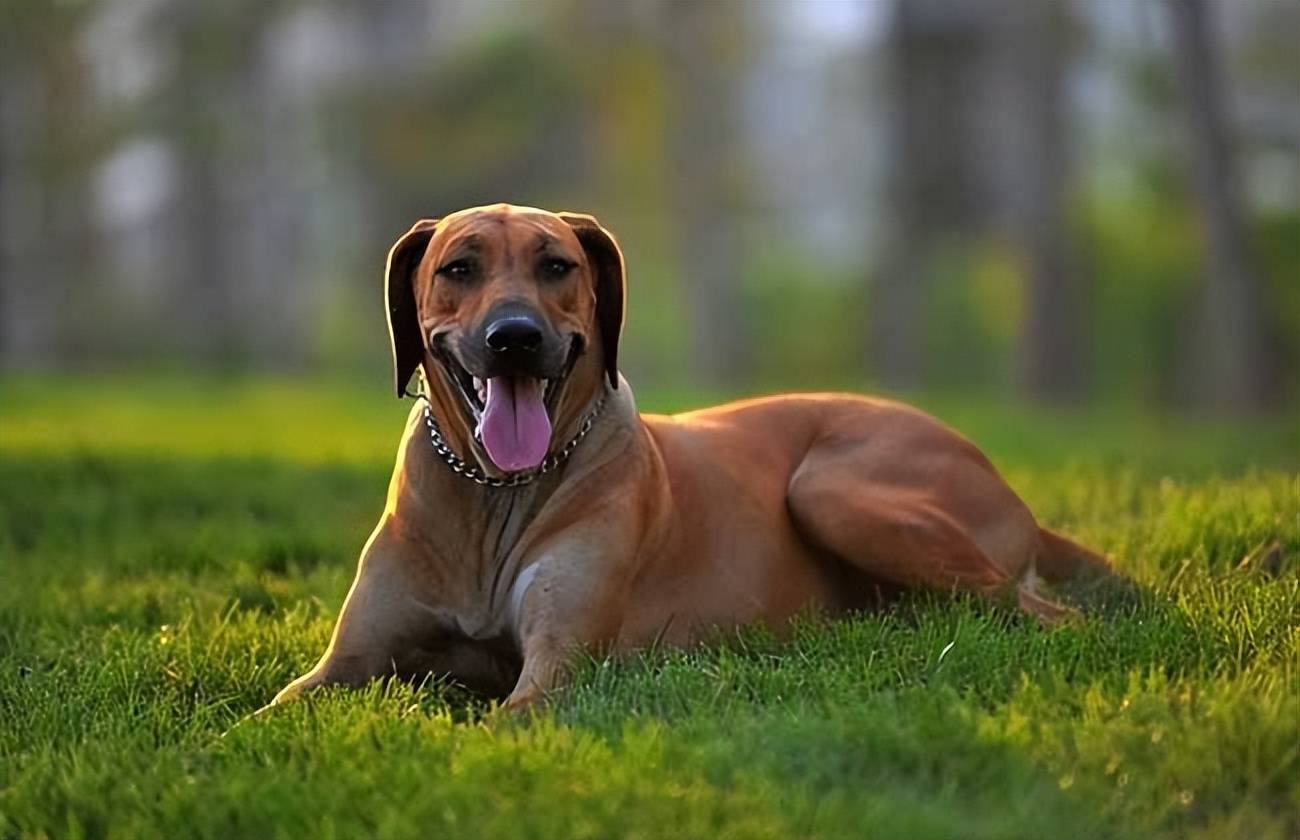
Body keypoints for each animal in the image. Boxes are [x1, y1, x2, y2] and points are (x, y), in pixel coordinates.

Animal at [269, 204, 1112, 712]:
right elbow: (270, 713)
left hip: (836, 490)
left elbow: (504, 715)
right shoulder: (341, 667)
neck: (493, 492)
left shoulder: (555, 673)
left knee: (1054, 615)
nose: (515, 338)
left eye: (557, 266)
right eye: (458, 268)